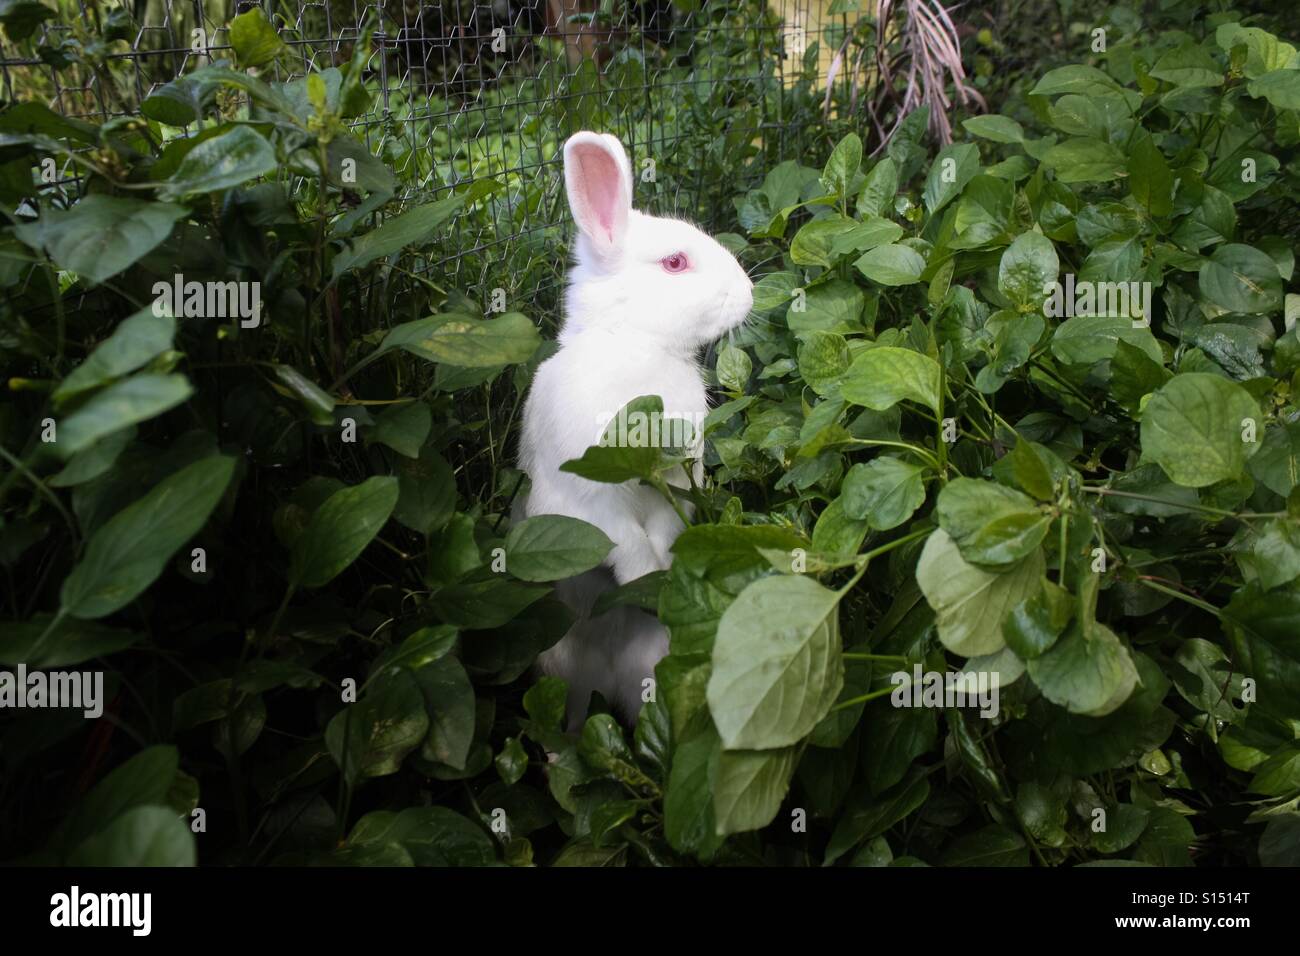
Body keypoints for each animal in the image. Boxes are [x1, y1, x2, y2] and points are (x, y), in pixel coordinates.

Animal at [517, 131, 754, 729]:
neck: (636, 344)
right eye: (674, 262)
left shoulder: (677, 484)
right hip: (562, 673)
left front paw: (670, 577)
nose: (748, 294)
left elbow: (667, 531)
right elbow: (627, 546)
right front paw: (651, 581)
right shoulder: (587, 501)